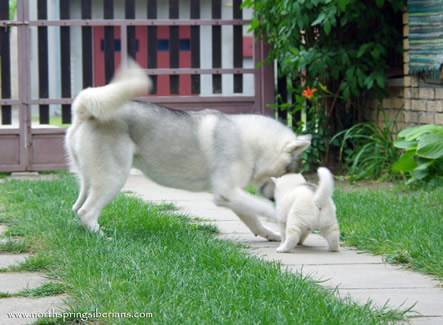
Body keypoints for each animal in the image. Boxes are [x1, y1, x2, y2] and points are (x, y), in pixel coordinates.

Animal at [65, 60, 312, 239]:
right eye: (286, 172)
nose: (273, 196)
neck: (250, 141)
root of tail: (84, 110)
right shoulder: (228, 193)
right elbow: (264, 209)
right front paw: (280, 217)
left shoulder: (234, 196)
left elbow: (254, 219)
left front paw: (270, 234)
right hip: (113, 178)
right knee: (87, 212)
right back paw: (104, 238)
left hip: (90, 181)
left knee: (77, 208)